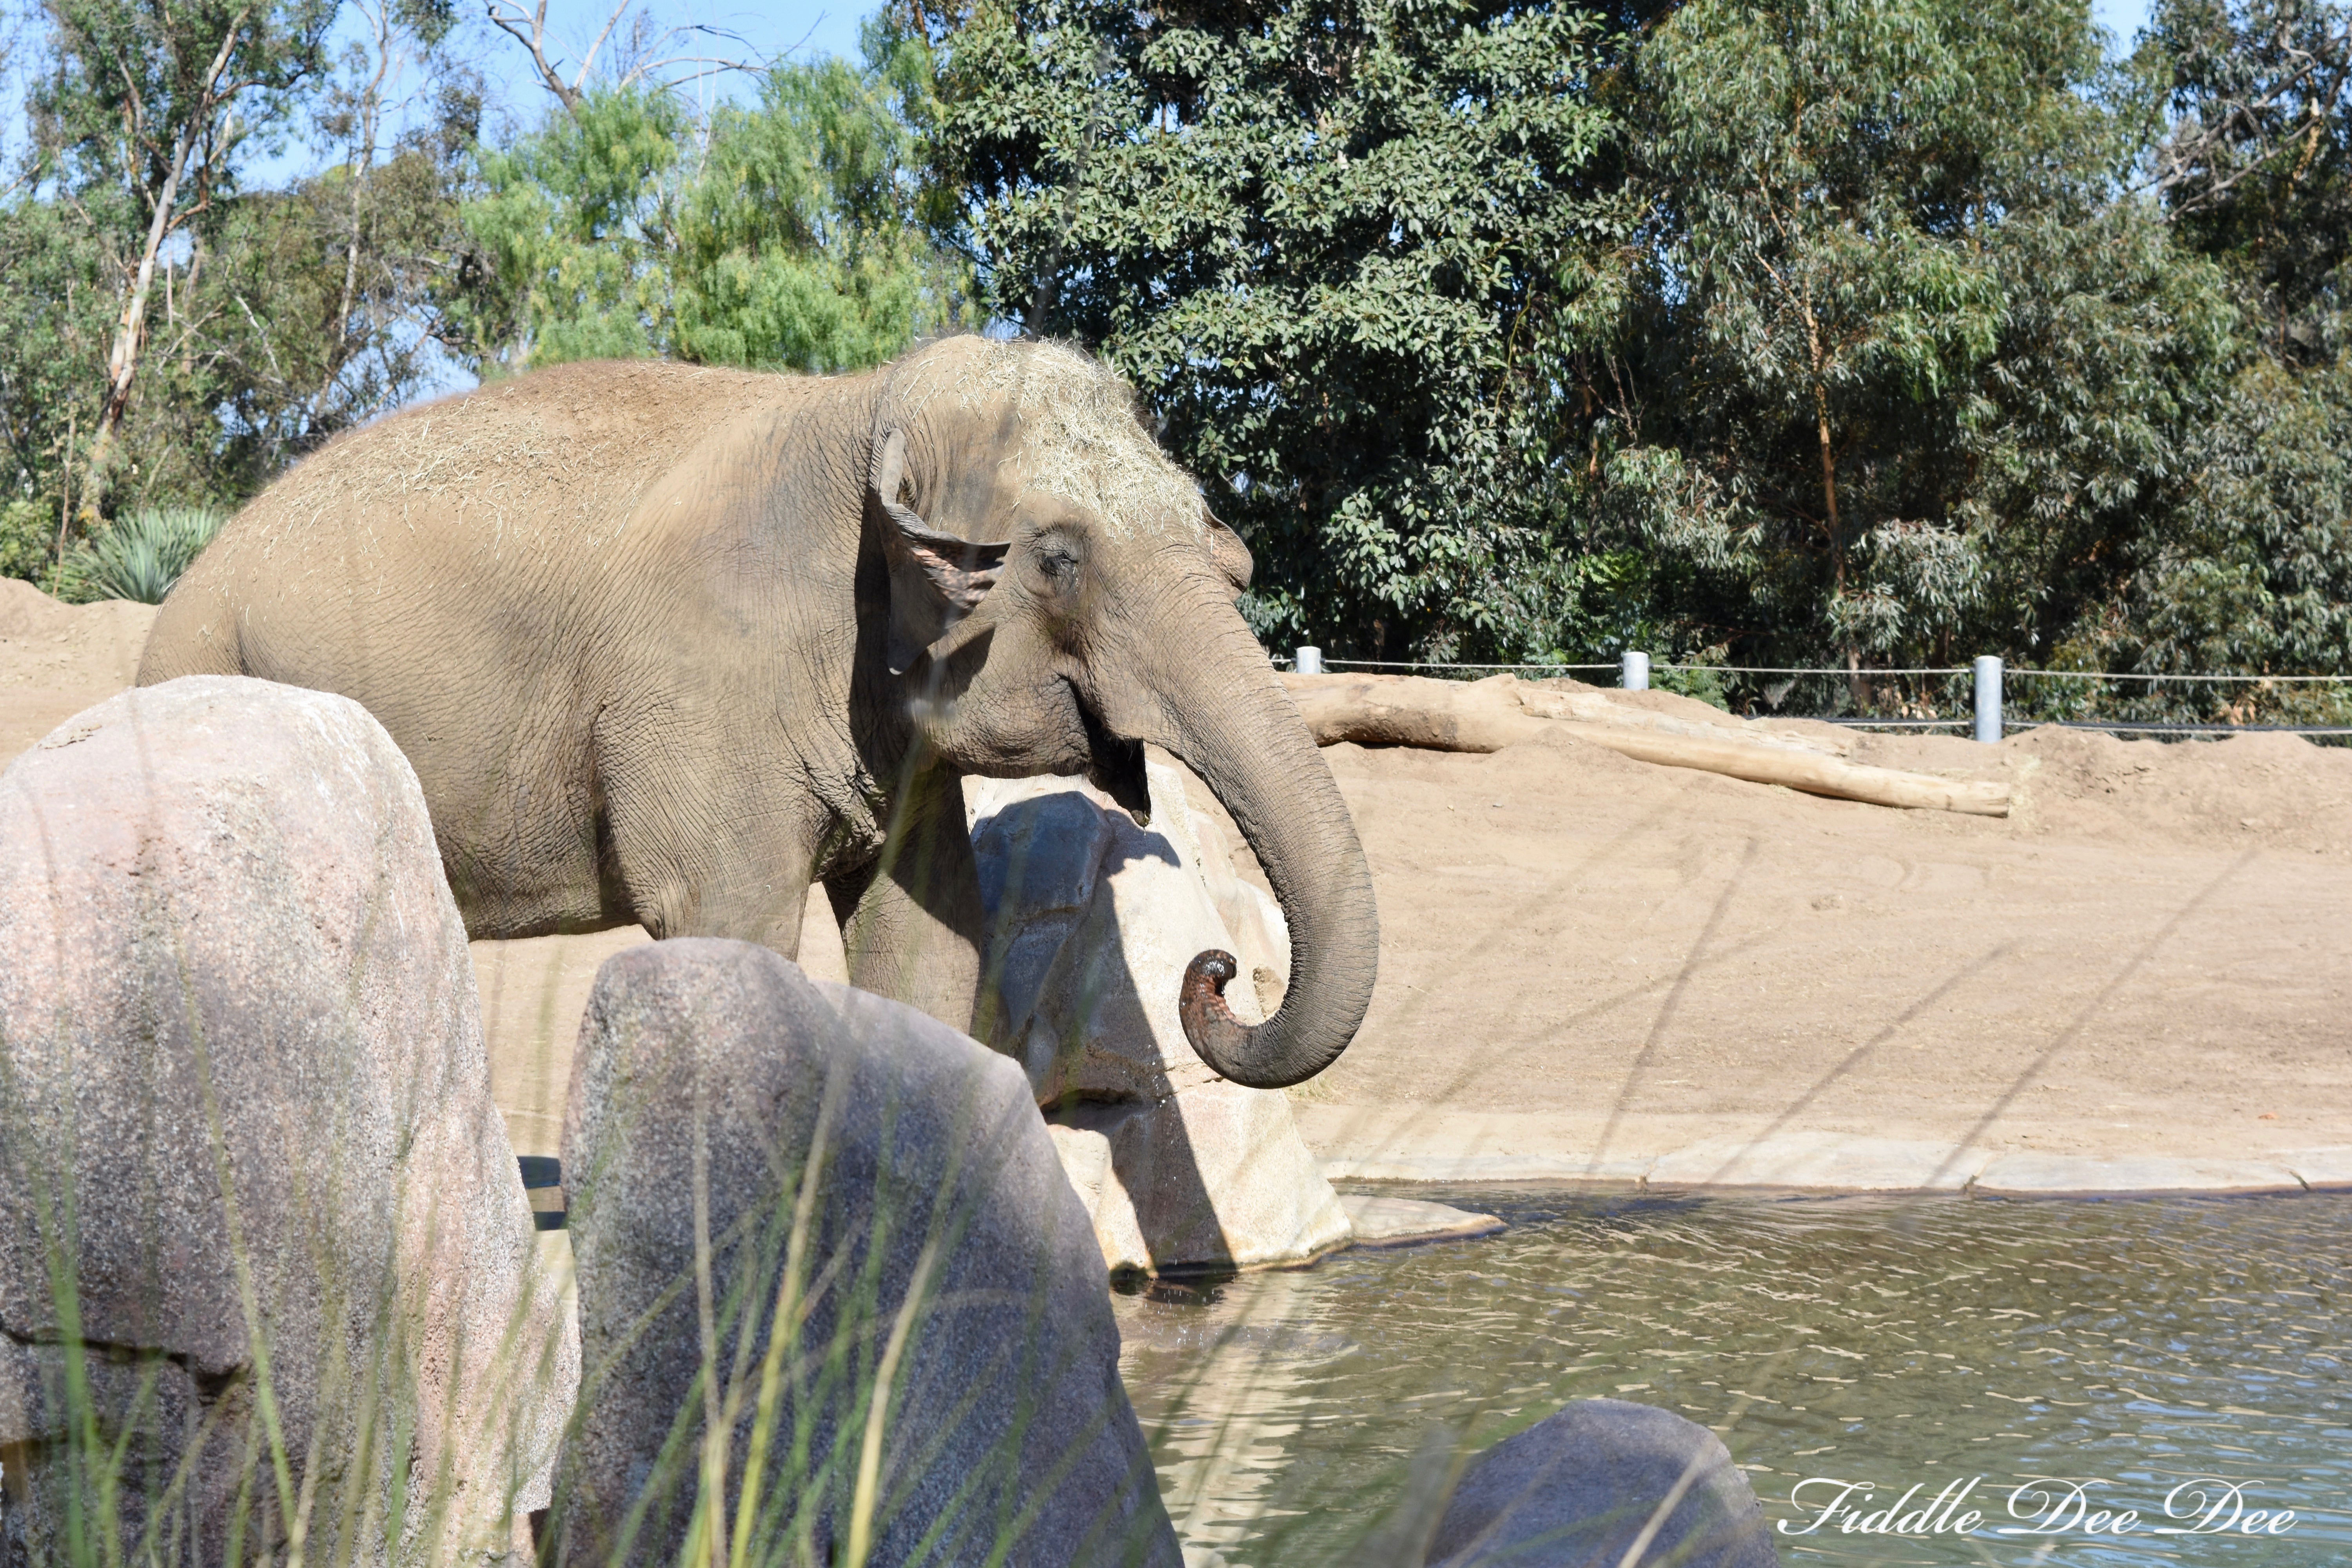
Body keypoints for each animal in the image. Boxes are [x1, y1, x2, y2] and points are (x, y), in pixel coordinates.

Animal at [138, 336, 1377, 1089]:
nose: (1218, 973)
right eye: (1061, 561)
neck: (861, 405)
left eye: (1209, 531)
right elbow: (726, 923)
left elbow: (930, 943)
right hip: (207, 667)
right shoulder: (699, 692)